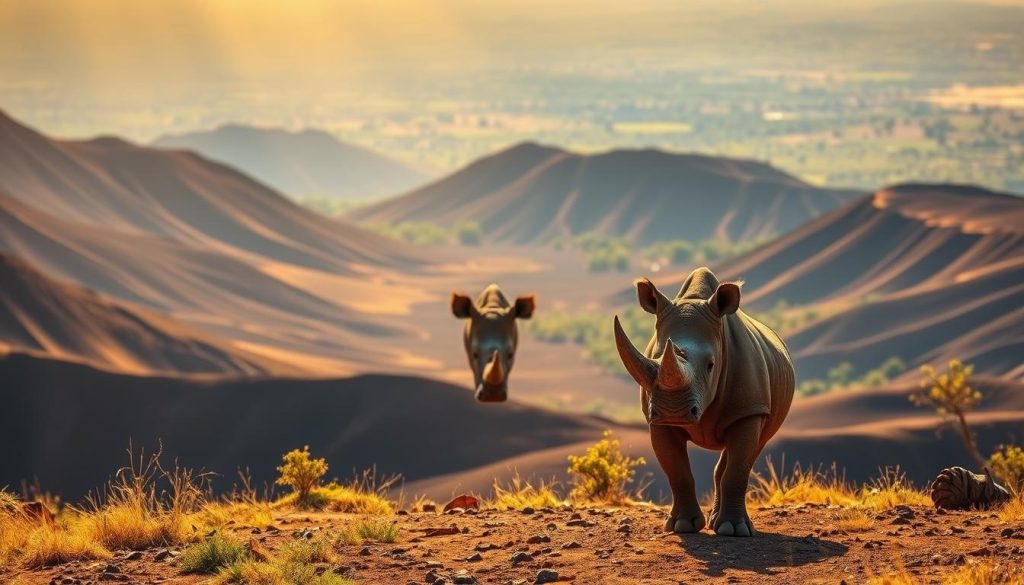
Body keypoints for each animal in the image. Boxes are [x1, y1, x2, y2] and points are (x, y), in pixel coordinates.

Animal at [614, 267, 794, 536]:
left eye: (711, 365)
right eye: (652, 359)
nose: (673, 412)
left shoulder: (749, 410)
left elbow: (737, 470)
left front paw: (733, 529)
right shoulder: (656, 419)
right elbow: (676, 471)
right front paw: (682, 526)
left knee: (753, 449)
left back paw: (725, 524)